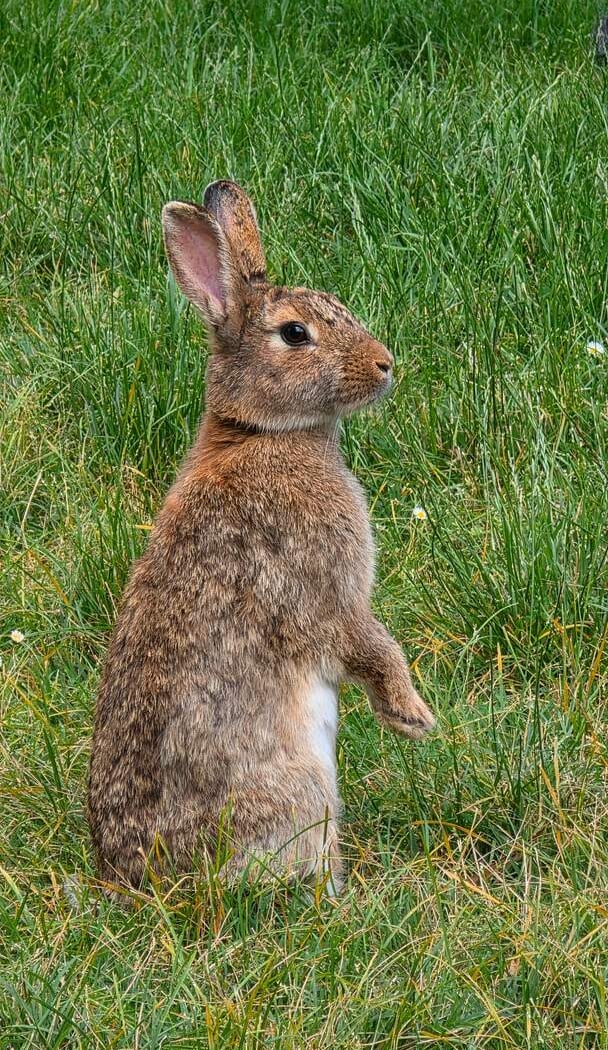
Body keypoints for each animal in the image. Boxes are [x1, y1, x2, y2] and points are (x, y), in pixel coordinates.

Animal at [87, 179, 436, 896]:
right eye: (295, 333)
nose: (385, 365)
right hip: (301, 789)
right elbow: (370, 646)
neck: (260, 432)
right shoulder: (327, 591)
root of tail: (143, 882)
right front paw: (413, 718)